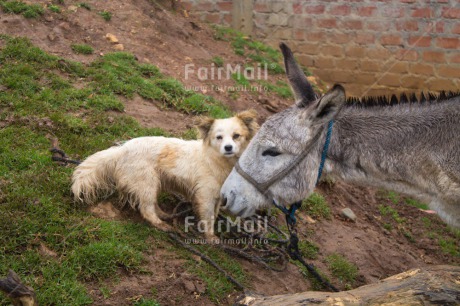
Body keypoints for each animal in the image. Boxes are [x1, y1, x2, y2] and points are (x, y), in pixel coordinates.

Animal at [72, 110, 258, 239]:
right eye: (219, 137)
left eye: (236, 136)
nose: (228, 147)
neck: (216, 159)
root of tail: (122, 150)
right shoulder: (205, 195)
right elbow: (208, 217)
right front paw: (210, 237)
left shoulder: (217, 196)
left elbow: (215, 211)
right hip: (148, 181)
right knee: (146, 209)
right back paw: (160, 224)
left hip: (152, 183)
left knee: (151, 203)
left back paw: (163, 215)